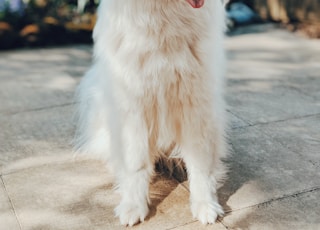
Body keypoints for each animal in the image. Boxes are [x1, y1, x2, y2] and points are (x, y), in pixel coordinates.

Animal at [74, 0, 228, 226]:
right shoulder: (133, 109)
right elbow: (135, 163)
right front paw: (133, 207)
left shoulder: (196, 103)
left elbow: (201, 163)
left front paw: (205, 205)